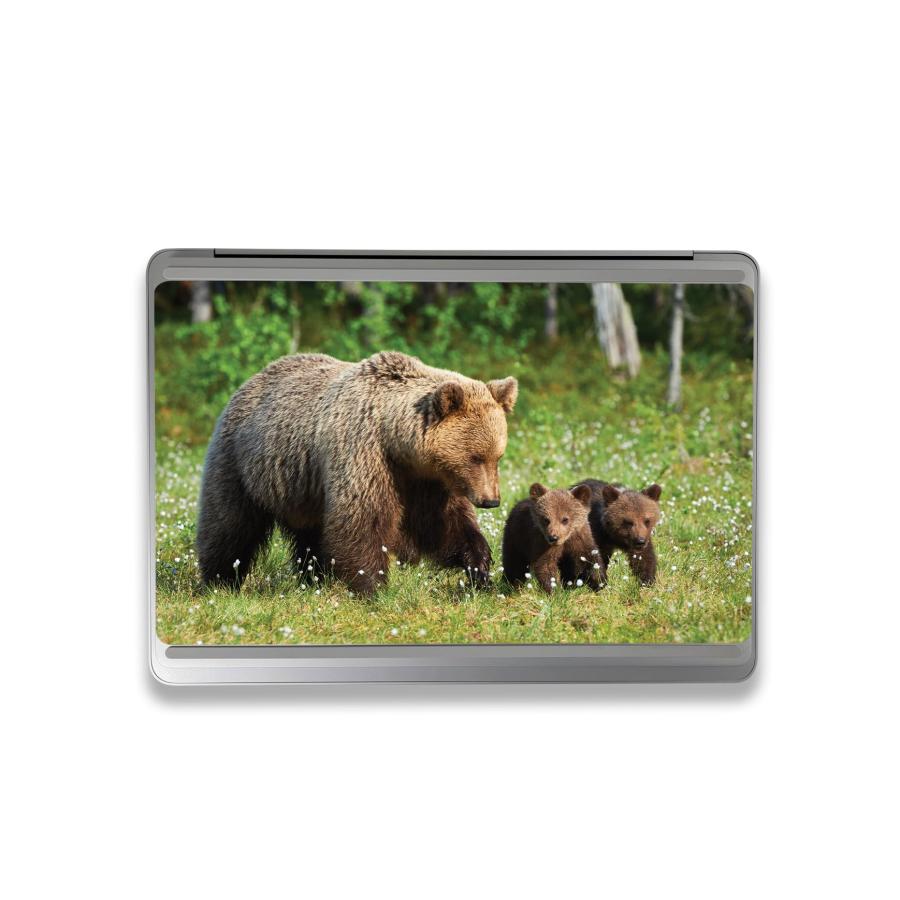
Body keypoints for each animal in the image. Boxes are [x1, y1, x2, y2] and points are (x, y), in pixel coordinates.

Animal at [196, 350, 518, 595]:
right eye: (476, 457)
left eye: (497, 456)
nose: (491, 500)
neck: (396, 441)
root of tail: (249, 381)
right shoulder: (364, 452)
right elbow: (362, 519)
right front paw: (373, 585)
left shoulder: (426, 480)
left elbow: (442, 524)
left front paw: (480, 567)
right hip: (243, 463)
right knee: (230, 525)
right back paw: (219, 581)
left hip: (304, 488)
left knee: (311, 537)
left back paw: (314, 579)